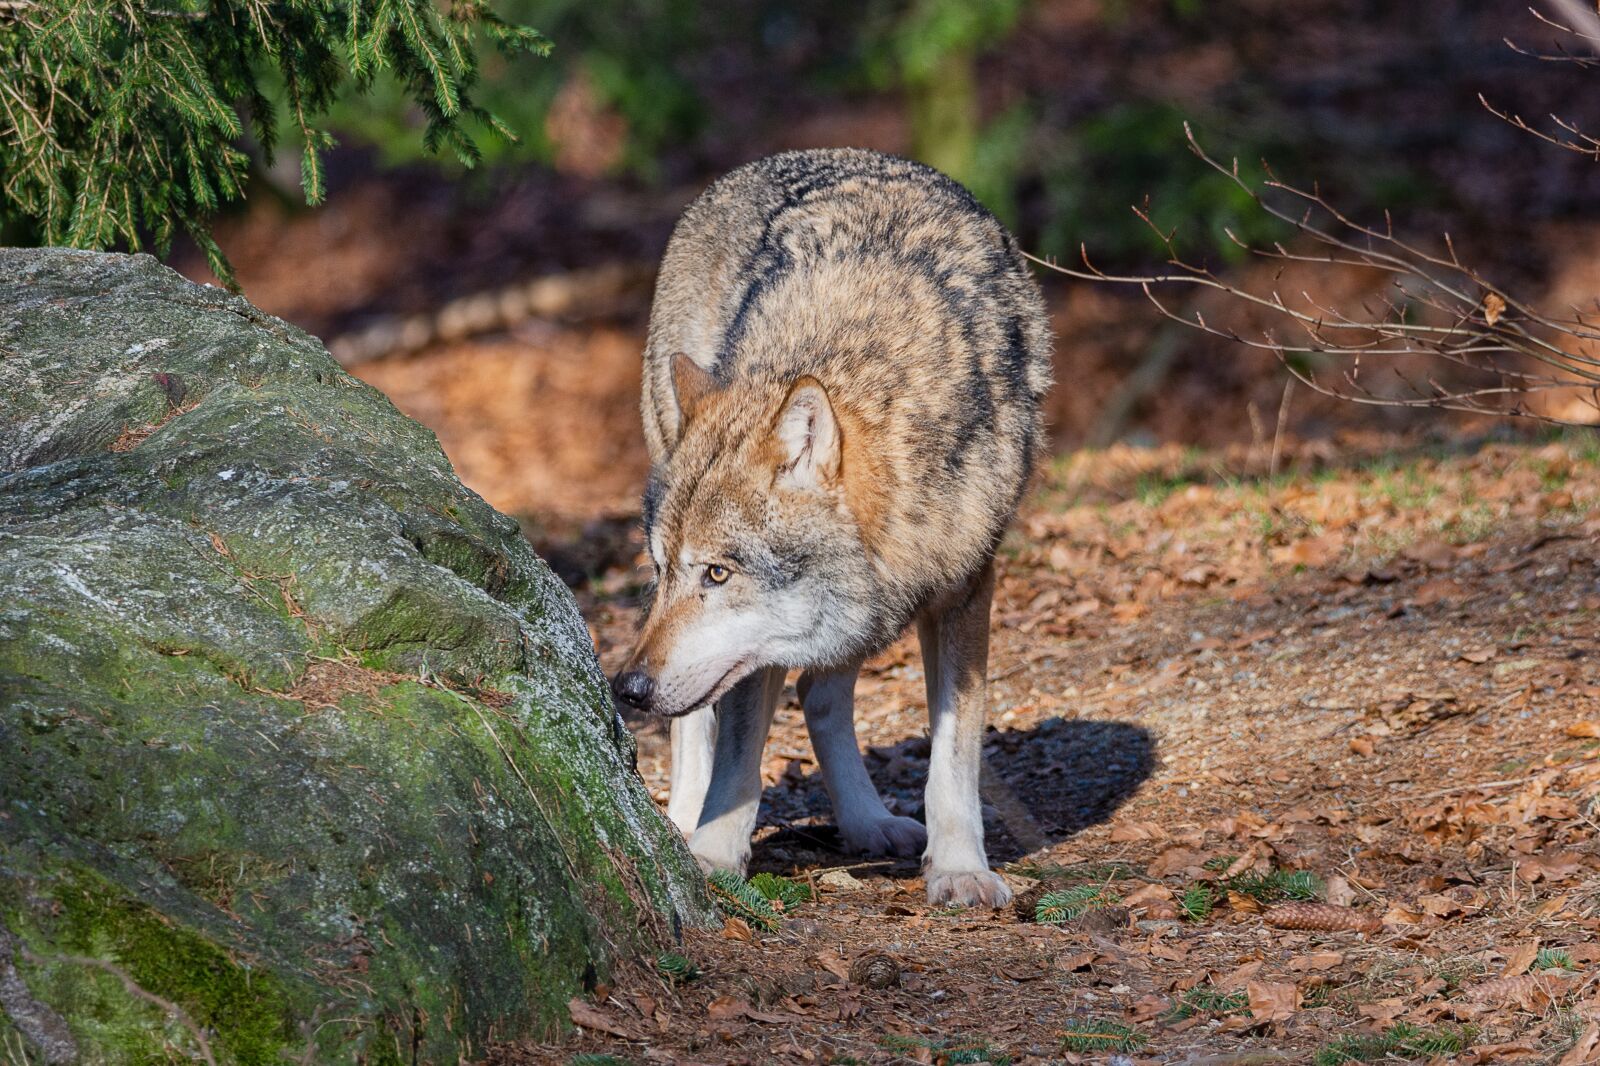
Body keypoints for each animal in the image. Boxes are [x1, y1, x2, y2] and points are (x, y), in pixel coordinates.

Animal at [610, 148, 1052, 908]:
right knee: (701, 725)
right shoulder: (752, 651)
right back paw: (679, 822)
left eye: (717, 573)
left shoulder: (968, 588)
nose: (629, 689)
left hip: (854, 621)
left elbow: (954, 756)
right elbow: (737, 758)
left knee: (818, 695)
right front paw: (711, 856)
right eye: (671, 569)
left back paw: (867, 822)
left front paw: (960, 868)